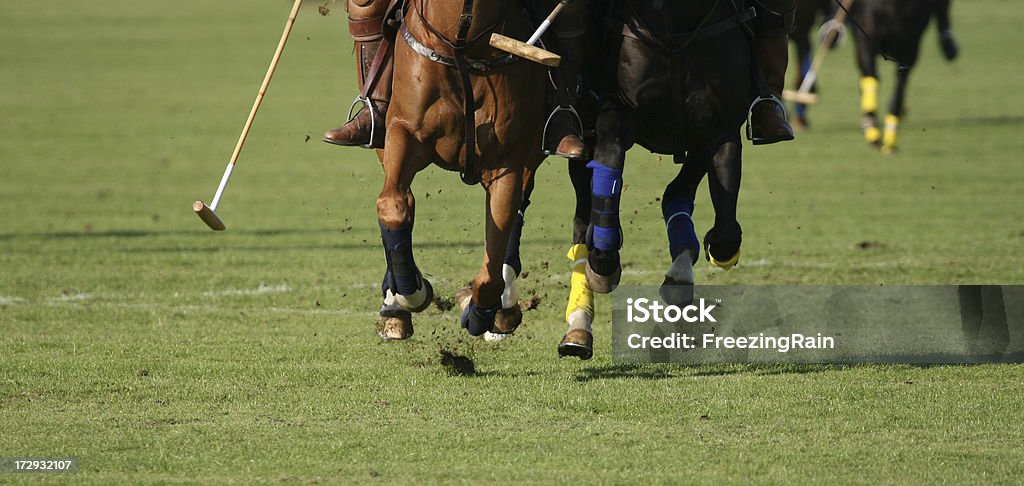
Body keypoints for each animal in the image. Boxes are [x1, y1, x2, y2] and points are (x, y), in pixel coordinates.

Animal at [374, 0, 548, 339]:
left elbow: (493, 261)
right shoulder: (403, 132)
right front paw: (412, 293)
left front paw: (480, 312)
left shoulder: (507, 160)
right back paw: (395, 307)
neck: (461, 42)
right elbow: (392, 206)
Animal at [552, 0, 761, 358]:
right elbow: (609, 166)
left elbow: (723, 234)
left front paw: (679, 276)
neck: (676, 19)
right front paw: (604, 260)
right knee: (582, 218)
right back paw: (578, 329)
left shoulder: (718, 129)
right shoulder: (616, 114)